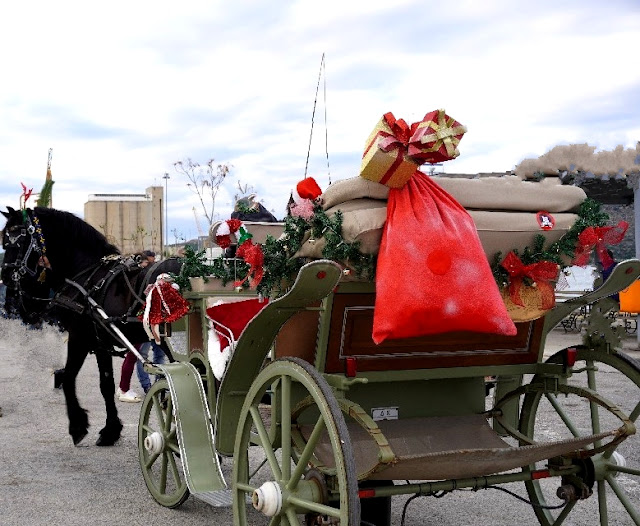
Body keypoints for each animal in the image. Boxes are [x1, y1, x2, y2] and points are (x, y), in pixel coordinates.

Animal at [2, 208, 182, 448]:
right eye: (5, 241)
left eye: (19, 239)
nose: (5, 277)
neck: (87, 276)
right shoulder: (101, 343)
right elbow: (106, 384)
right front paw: (111, 430)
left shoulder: (79, 337)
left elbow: (69, 378)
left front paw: (78, 426)